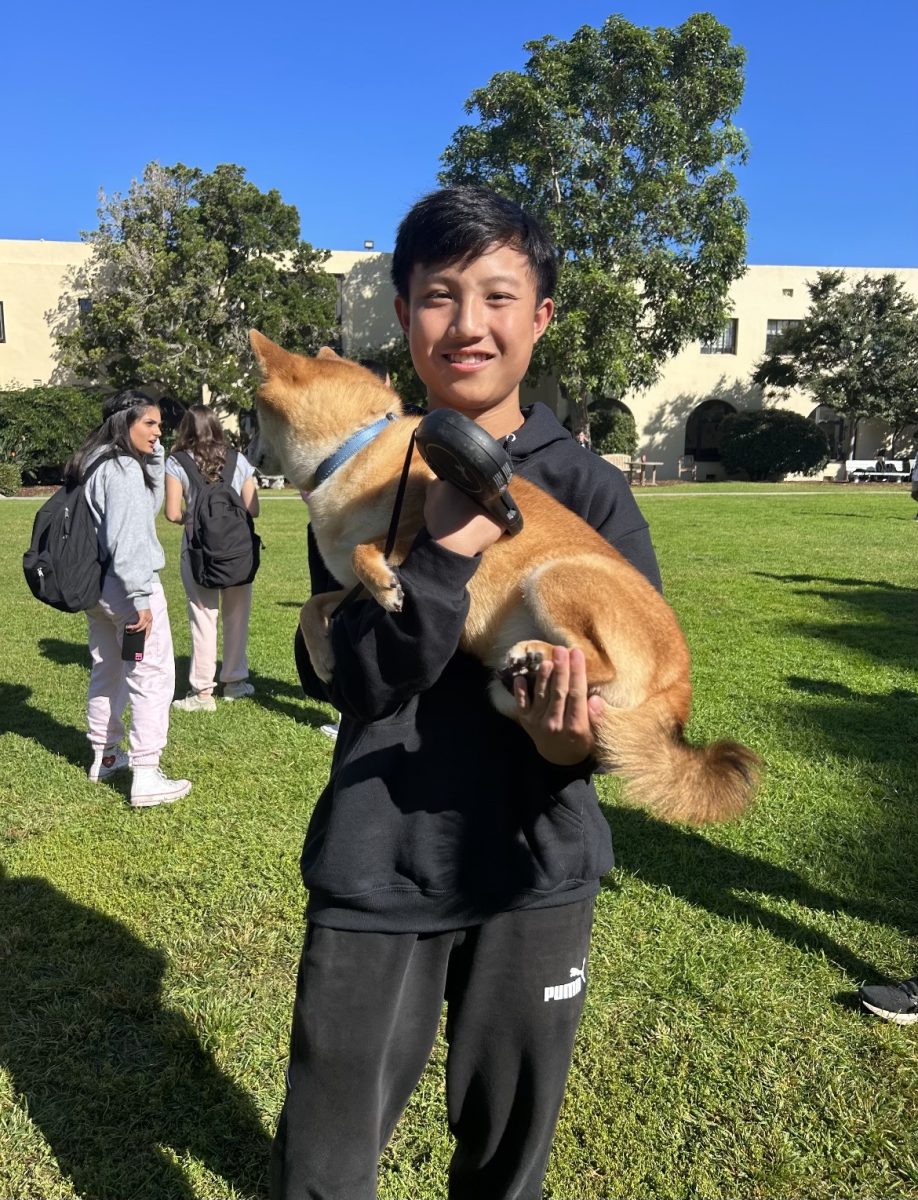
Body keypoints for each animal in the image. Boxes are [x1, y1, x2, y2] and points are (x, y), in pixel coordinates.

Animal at [247, 326, 753, 825]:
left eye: (251, 415)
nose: (245, 452)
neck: (352, 449)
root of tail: (677, 689)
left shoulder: (412, 522)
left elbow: (362, 552)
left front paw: (384, 586)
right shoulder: (347, 593)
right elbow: (313, 606)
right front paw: (323, 658)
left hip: (554, 578)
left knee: (597, 662)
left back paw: (537, 654)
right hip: (506, 685)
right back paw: (532, 663)